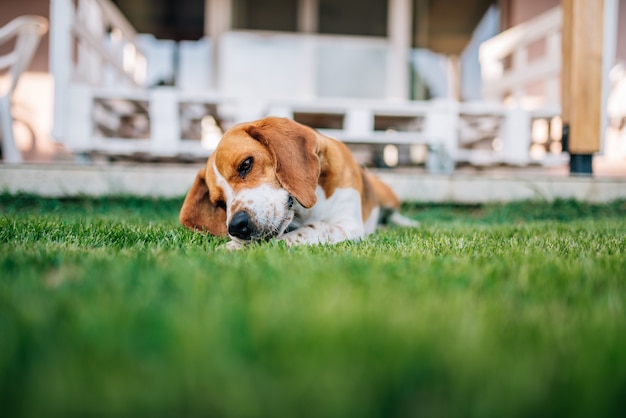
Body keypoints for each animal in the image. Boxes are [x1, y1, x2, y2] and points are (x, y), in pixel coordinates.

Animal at [179, 116, 414, 248]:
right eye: (219, 203)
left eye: (246, 164)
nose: (236, 226)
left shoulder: (348, 225)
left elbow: (313, 228)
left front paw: (235, 247)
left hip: (388, 198)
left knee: (394, 214)